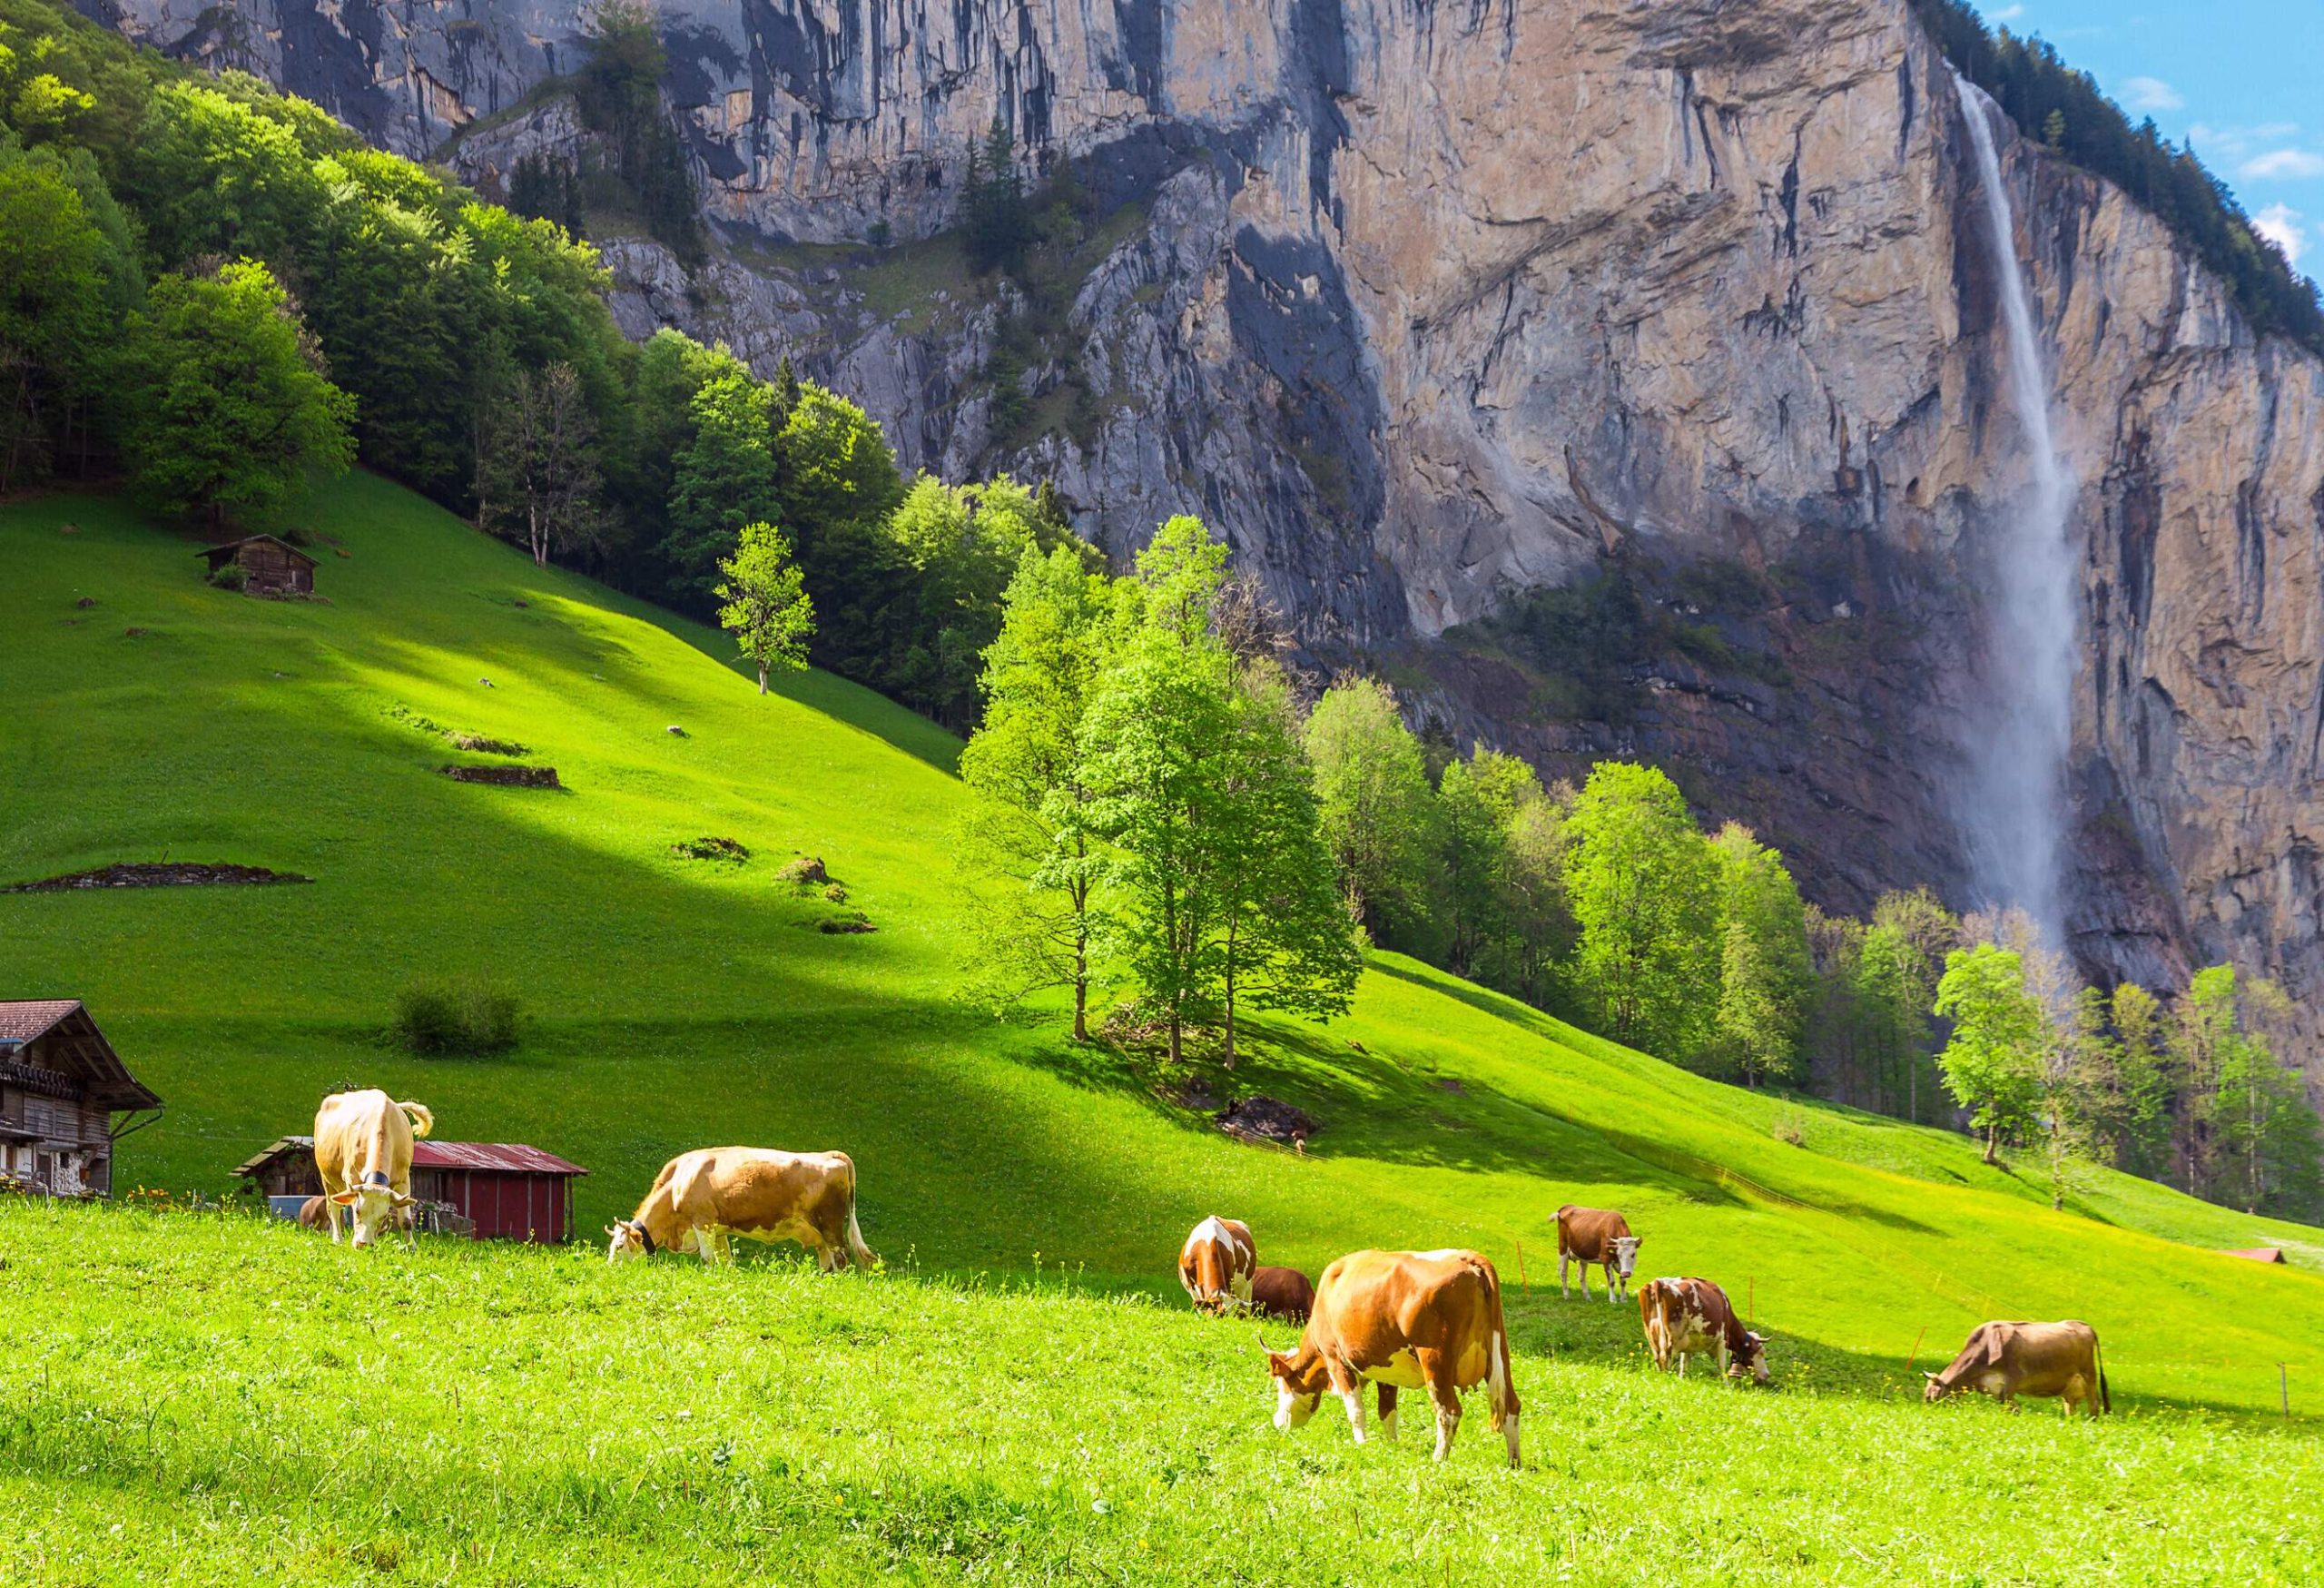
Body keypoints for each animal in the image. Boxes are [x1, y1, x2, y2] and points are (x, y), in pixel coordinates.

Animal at [313, 1092, 432, 1255]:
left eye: (384, 1216)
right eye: (357, 1211)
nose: (363, 1244)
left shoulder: (403, 1180)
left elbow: (406, 1221)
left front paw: (411, 1247)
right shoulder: (352, 1178)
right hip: (326, 1178)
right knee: (334, 1209)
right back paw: (338, 1240)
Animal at [608, 1149, 878, 1274]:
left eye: (620, 1247)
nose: (609, 1269)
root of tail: (830, 1155)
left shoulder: (703, 1221)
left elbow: (707, 1258)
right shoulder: (718, 1230)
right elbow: (726, 1260)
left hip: (830, 1224)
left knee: (841, 1257)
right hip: (818, 1231)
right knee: (826, 1260)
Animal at [1264, 1246, 1515, 1469]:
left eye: (1281, 1386)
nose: (1277, 1423)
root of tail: (1465, 1257)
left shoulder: (1336, 1359)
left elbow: (1356, 1410)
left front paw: (1362, 1444)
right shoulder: (1387, 1370)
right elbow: (1388, 1412)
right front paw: (1392, 1447)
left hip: (1435, 1361)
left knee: (1448, 1411)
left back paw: (1438, 1459)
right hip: (1500, 1354)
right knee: (1511, 1406)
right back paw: (1514, 1463)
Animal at [1645, 1274, 1766, 1386]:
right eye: (1761, 1353)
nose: (1766, 1375)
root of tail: (1660, 1282)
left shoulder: (1688, 1340)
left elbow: (1684, 1363)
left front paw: (1681, 1379)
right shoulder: (1722, 1340)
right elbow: (1721, 1365)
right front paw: (1727, 1386)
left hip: (1653, 1338)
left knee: (1658, 1360)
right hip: (1671, 1342)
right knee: (1666, 1361)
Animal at [1924, 1320, 2110, 1423]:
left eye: (1933, 1397)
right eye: (1926, 1396)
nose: (1928, 1414)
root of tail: (2082, 1324)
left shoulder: (2011, 1382)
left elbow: (2013, 1411)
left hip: (2088, 1375)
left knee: (2094, 1405)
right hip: (2069, 1387)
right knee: (2070, 1408)